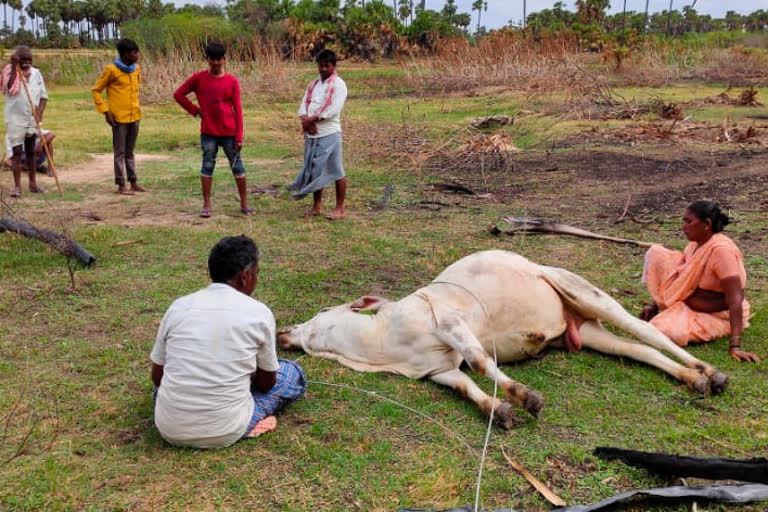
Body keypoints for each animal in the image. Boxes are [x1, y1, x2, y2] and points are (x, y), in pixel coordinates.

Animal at [278, 250, 728, 426]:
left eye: (320, 314)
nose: (283, 332)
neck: (383, 343)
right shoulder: (437, 370)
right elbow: (465, 385)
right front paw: (499, 410)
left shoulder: (451, 323)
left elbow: (481, 363)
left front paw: (525, 397)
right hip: (586, 332)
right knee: (638, 349)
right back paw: (694, 379)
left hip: (585, 293)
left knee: (648, 331)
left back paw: (711, 371)